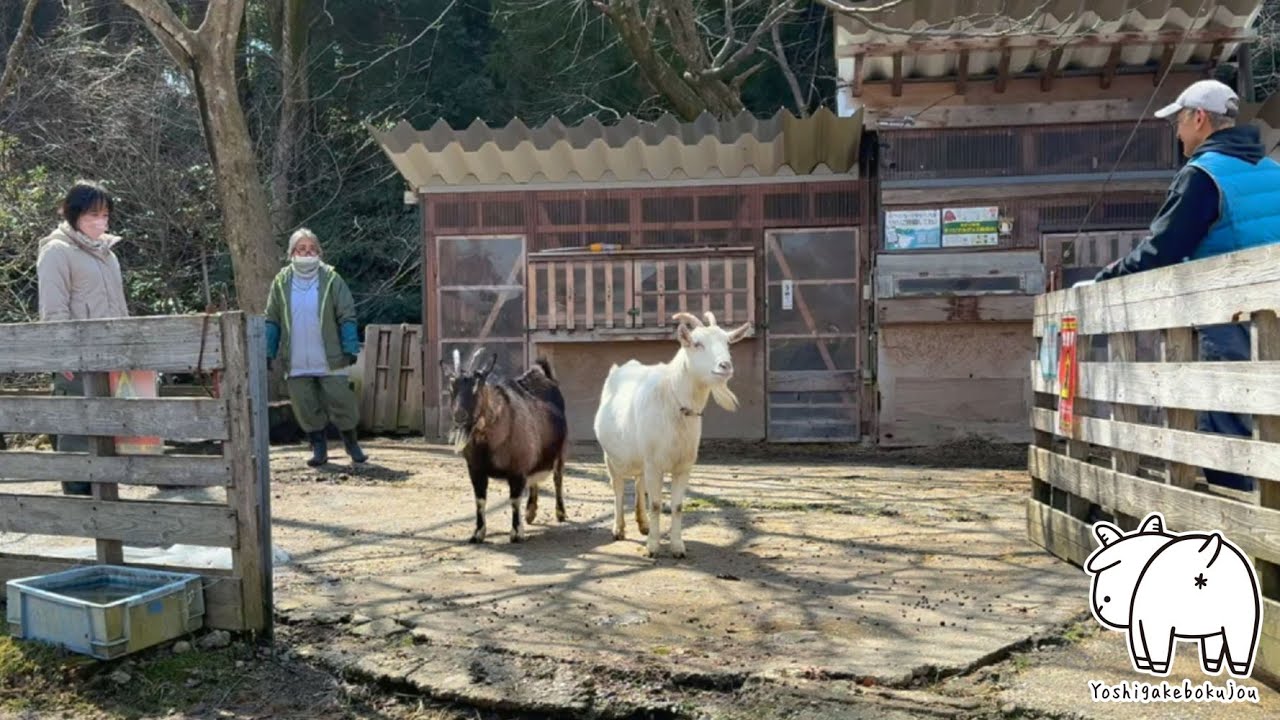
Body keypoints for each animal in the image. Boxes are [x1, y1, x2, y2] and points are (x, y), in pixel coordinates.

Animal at [441, 348, 568, 544]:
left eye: (477, 387)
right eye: (451, 387)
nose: (459, 415)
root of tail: (541, 374)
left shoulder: (517, 469)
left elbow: (514, 500)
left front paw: (516, 533)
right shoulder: (475, 469)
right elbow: (480, 500)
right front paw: (478, 533)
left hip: (560, 452)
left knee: (557, 478)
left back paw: (560, 513)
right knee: (535, 479)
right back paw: (530, 513)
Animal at [592, 311, 751, 557]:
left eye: (727, 343)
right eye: (697, 343)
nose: (725, 366)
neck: (675, 403)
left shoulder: (683, 466)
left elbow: (677, 506)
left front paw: (677, 547)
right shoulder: (654, 464)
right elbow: (656, 504)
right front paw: (652, 548)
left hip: (641, 458)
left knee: (638, 483)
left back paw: (644, 524)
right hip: (611, 457)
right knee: (618, 487)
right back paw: (619, 529)